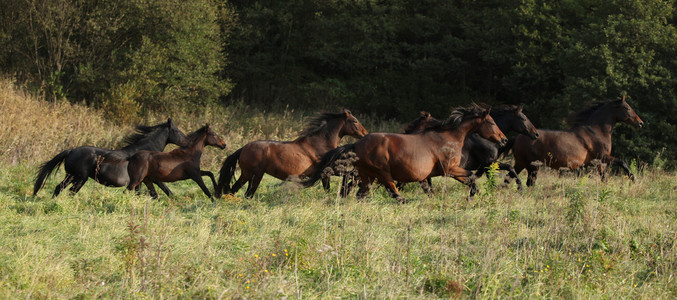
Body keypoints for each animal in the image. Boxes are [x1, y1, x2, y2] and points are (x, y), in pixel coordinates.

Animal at [33, 118, 186, 198]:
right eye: (176, 130)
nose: (186, 142)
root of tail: (71, 151)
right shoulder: (149, 178)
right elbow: (165, 190)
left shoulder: (142, 181)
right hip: (80, 178)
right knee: (71, 191)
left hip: (70, 176)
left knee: (59, 187)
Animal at [215, 109, 364, 198]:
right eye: (355, 121)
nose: (365, 133)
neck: (321, 144)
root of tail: (243, 148)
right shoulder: (327, 171)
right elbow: (335, 183)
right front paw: (346, 189)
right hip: (253, 175)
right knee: (243, 192)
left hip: (250, 175)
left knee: (238, 191)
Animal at [304, 104, 504, 203]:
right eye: (492, 122)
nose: (504, 139)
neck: (449, 137)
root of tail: (356, 144)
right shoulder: (449, 169)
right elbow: (471, 176)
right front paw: (471, 196)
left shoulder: (446, 172)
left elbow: (468, 179)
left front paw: (472, 195)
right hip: (382, 173)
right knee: (393, 191)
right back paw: (405, 201)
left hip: (367, 176)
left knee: (361, 194)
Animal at [512, 96, 644, 186]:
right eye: (627, 108)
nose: (640, 123)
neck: (597, 131)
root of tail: (517, 138)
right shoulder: (603, 157)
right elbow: (623, 162)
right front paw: (633, 178)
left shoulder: (598, 163)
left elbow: (604, 178)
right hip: (531, 166)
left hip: (522, 164)